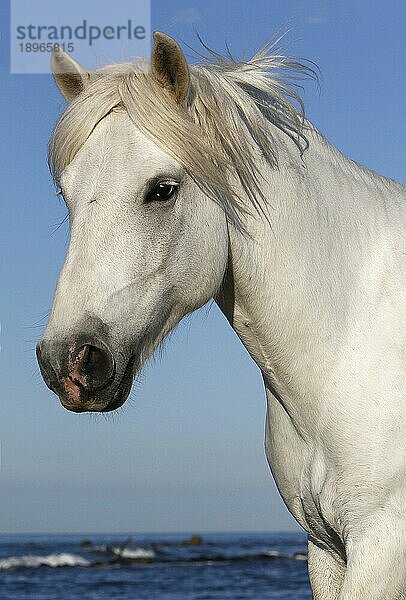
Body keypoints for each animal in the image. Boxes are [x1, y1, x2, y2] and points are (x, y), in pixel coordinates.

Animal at [36, 34, 404, 600]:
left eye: (162, 189)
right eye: (66, 195)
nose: (69, 362)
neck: (350, 340)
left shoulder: (383, 545)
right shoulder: (326, 549)